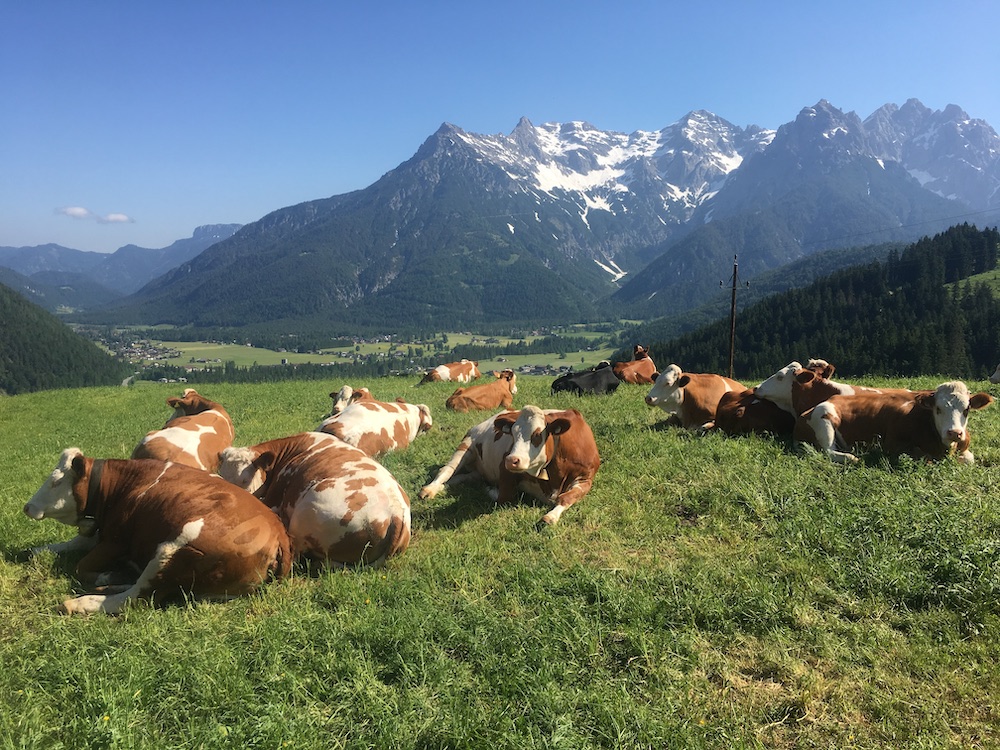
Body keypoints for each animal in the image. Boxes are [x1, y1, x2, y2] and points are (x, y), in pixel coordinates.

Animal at [24, 449, 291, 615]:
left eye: (56, 482)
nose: (27, 507)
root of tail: (279, 534)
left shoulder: (116, 540)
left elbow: (81, 566)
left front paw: (107, 574)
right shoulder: (102, 532)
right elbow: (72, 543)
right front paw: (37, 549)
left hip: (170, 550)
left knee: (136, 598)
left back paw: (81, 601)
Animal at [419, 405, 600, 527]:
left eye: (537, 435)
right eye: (512, 433)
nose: (512, 459)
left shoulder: (586, 478)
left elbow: (567, 497)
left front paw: (551, 516)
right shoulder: (504, 469)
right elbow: (506, 497)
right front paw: (491, 489)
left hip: (476, 471)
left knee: (461, 477)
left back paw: (444, 487)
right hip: (467, 444)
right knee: (447, 470)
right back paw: (429, 489)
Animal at [794, 380, 993, 464]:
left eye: (966, 409)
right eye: (938, 409)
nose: (954, 433)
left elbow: (970, 459)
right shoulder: (891, 445)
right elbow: (922, 457)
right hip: (824, 418)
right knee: (828, 451)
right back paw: (853, 457)